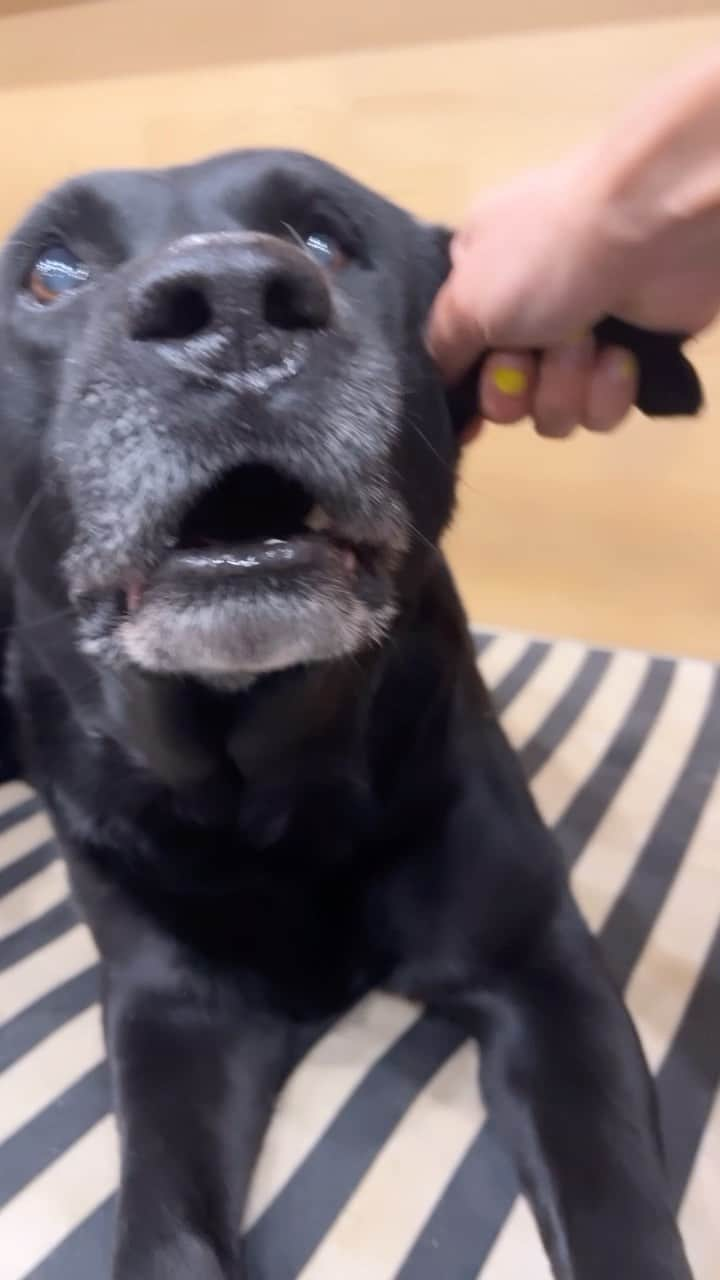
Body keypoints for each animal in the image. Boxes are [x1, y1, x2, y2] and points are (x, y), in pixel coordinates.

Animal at [0, 147, 696, 1269]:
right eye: (51, 274)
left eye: (326, 240)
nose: (232, 305)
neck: (268, 785)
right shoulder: (170, 1007)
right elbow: (162, 1229)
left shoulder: (545, 969)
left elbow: (615, 1214)